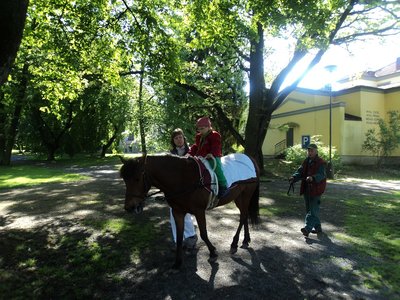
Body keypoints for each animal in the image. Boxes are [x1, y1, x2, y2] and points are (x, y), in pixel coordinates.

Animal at [119, 154, 260, 268]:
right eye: (125, 180)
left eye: (137, 178)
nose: (130, 207)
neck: (182, 178)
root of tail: (250, 158)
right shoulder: (177, 212)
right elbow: (179, 235)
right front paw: (177, 262)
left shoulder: (199, 211)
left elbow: (203, 234)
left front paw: (213, 253)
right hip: (239, 197)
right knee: (244, 215)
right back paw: (245, 240)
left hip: (246, 195)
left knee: (243, 217)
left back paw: (234, 244)